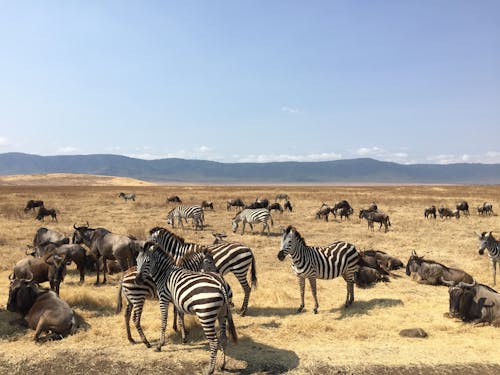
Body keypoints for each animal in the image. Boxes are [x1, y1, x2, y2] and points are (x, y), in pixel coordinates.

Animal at [134, 242, 237, 374]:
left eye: (147, 261)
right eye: (137, 261)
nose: (137, 280)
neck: (164, 273)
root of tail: (221, 284)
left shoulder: (164, 298)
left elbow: (164, 322)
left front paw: (159, 345)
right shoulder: (178, 302)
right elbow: (180, 319)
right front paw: (184, 338)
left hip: (205, 314)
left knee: (214, 341)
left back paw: (210, 369)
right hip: (222, 313)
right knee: (223, 338)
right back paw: (223, 365)